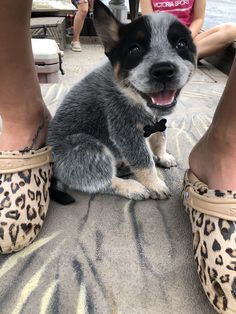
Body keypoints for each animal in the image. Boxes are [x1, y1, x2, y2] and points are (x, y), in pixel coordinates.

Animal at [47, 0, 196, 204]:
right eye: (134, 50)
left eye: (182, 44)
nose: (164, 70)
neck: (132, 96)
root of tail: (54, 168)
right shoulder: (124, 128)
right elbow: (144, 161)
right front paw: (155, 184)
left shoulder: (159, 121)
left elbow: (160, 138)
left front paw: (162, 155)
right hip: (85, 146)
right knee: (99, 181)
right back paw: (130, 187)